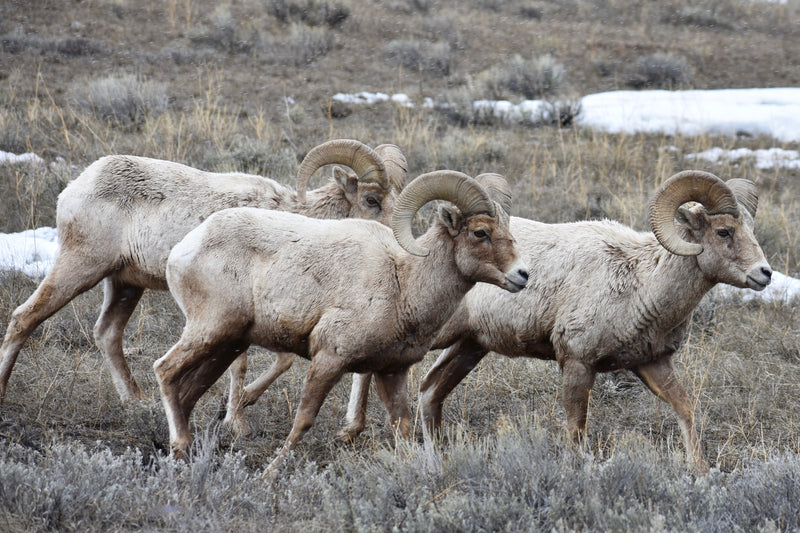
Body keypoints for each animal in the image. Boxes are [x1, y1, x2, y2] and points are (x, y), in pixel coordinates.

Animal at [0, 139, 407, 407]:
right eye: (371, 200)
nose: (399, 243)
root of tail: (74, 188)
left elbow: (280, 359)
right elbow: (257, 364)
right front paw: (237, 415)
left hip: (124, 284)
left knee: (107, 334)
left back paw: (138, 400)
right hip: (80, 266)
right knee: (25, 317)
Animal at [154, 170, 529, 477]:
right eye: (480, 232)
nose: (522, 275)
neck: (402, 280)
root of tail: (186, 247)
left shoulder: (392, 371)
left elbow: (403, 426)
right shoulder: (328, 360)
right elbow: (304, 420)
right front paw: (270, 474)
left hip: (228, 345)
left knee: (188, 393)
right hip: (210, 330)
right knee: (165, 370)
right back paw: (181, 449)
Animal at [343, 170, 772, 474]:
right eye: (724, 231)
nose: (764, 274)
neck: (640, 283)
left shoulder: (652, 362)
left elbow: (685, 409)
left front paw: (700, 471)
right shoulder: (578, 363)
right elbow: (577, 427)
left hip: (470, 347)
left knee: (431, 390)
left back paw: (435, 457)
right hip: (436, 336)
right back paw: (351, 431)